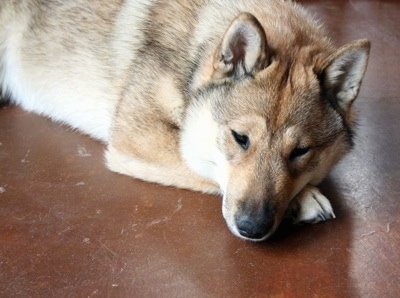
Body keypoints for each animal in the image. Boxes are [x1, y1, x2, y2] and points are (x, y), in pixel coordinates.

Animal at [0, 0, 370, 241]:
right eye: (240, 138)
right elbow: (207, 169)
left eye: (300, 152)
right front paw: (305, 199)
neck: (193, 58)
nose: (252, 228)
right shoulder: (138, 139)